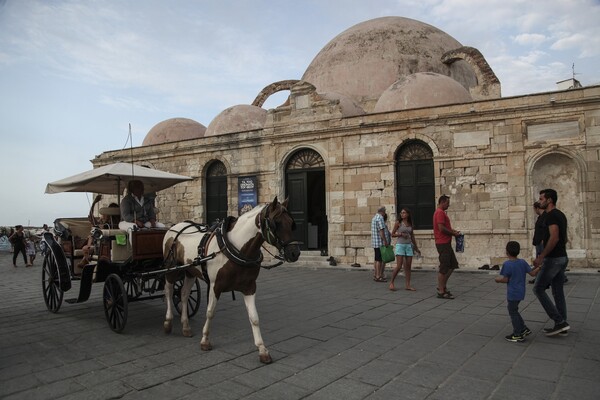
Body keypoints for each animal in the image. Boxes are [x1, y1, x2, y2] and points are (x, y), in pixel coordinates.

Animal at [161, 197, 300, 362]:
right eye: (276, 223)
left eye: (291, 223)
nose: (295, 253)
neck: (237, 248)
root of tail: (176, 226)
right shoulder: (215, 286)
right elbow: (210, 312)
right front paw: (205, 341)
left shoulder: (250, 287)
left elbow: (254, 318)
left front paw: (262, 350)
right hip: (171, 269)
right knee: (169, 292)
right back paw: (168, 322)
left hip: (190, 271)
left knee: (183, 294)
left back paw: (186, 326)